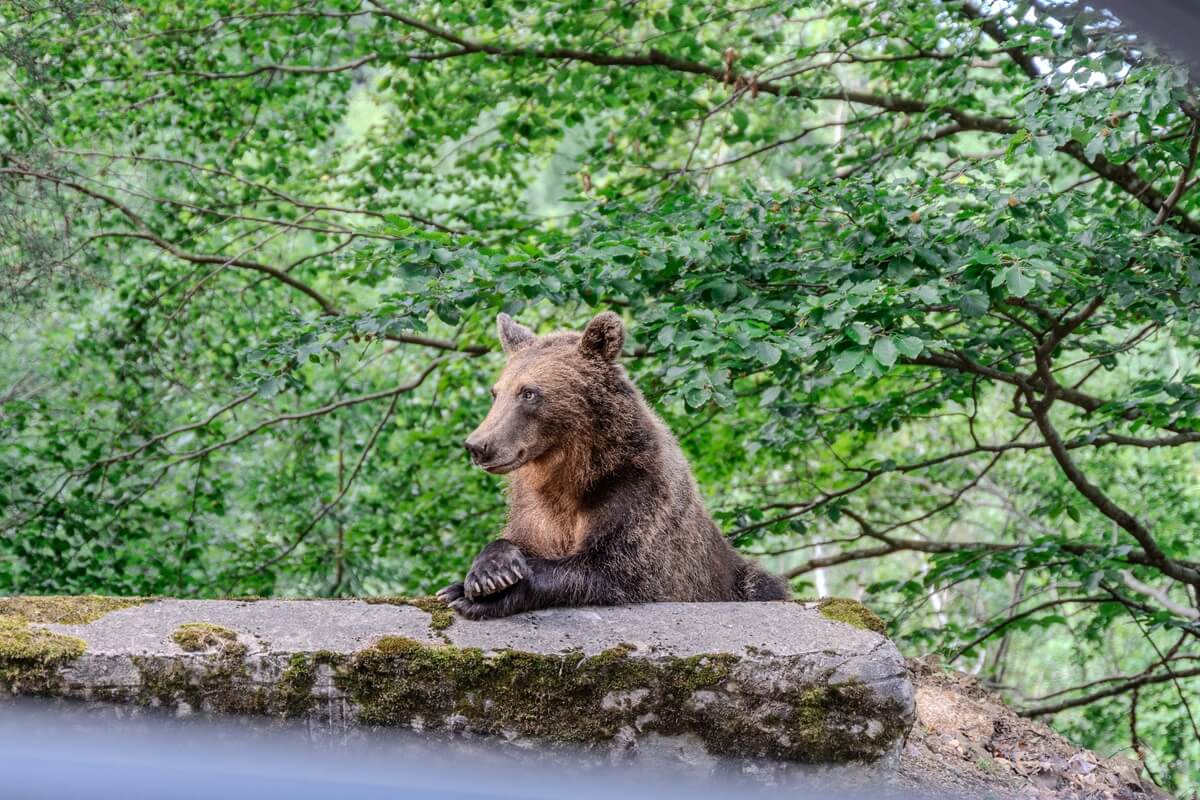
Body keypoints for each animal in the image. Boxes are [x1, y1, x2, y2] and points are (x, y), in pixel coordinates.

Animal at [436, 311, 790, 619]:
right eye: (496, 392)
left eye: (529, 393)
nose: (478, 445)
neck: (572, 472)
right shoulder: (536, 508)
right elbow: (519, 536)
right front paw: (486, 571)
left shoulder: (636, 492)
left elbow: (611, 567)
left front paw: (482, 593)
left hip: (737, 578)